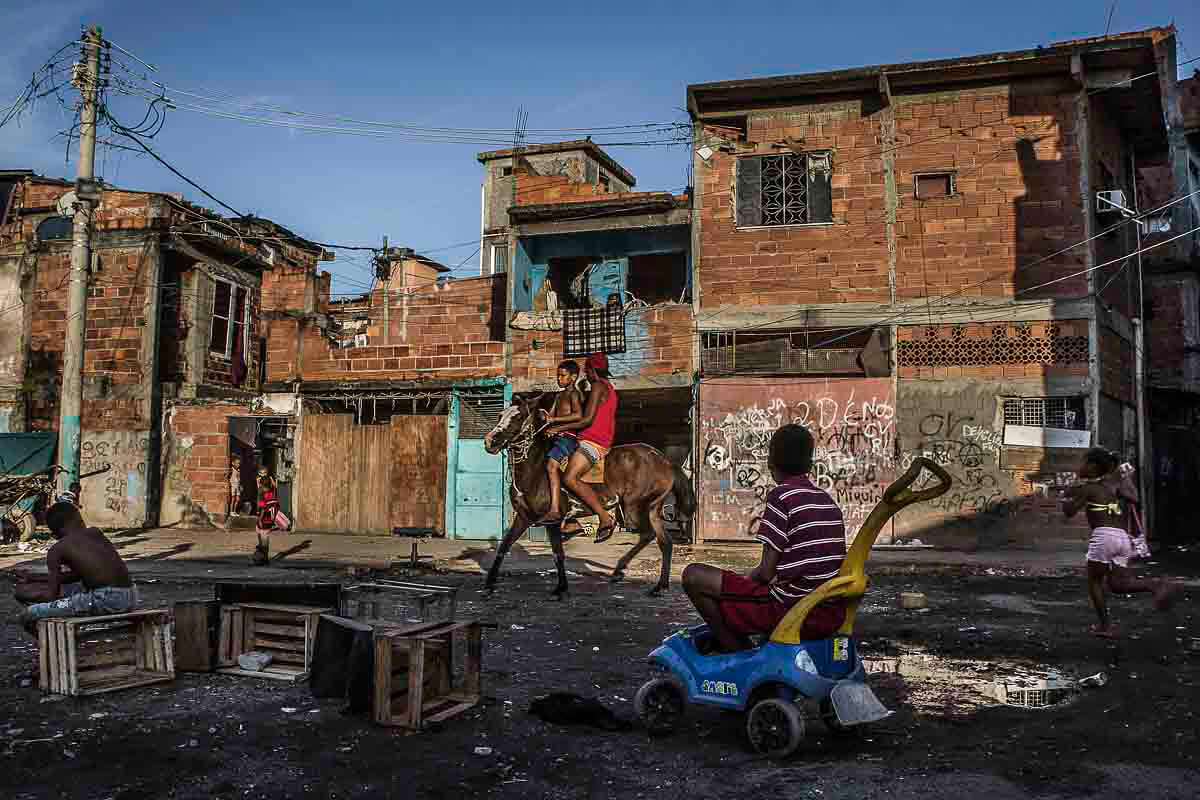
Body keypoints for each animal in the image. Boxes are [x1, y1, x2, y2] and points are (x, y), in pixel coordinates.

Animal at [482, 391, 700, 597]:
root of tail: (664, 461)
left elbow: (558, 554)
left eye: (518, 417)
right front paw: (489, 584)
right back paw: (658, 585)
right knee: (664, 542)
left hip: (634, 506)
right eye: (500, 415)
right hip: (652, 508)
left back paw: (619, 562)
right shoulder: (523, 517)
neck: (534, 470)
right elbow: (504, 546)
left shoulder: (552, 521)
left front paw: (561, 588)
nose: (490, 441)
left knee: (648, 535)